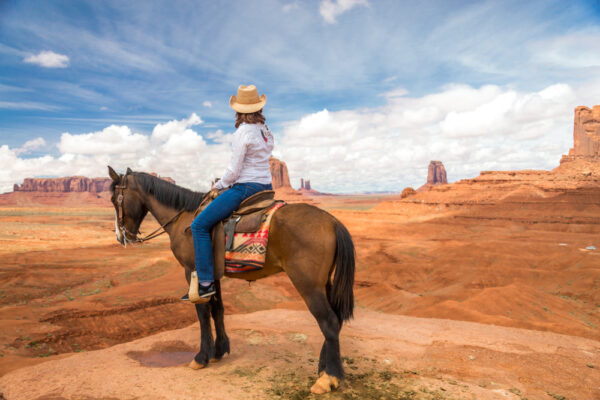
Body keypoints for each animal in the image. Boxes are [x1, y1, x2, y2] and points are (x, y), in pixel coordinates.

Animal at [107, 166, 354, 394]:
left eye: (114, 199)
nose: (121, 237)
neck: (183, 218)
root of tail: (332, 221)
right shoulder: (211, 276)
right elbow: (217, 310)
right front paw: (219, 350)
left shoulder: (192, 271)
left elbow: (202, 313)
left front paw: (201, 357)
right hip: (324, 283)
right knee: (335, 319)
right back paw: (323, 368)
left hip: (308, 285)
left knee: (329, 322)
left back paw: (328, 378)